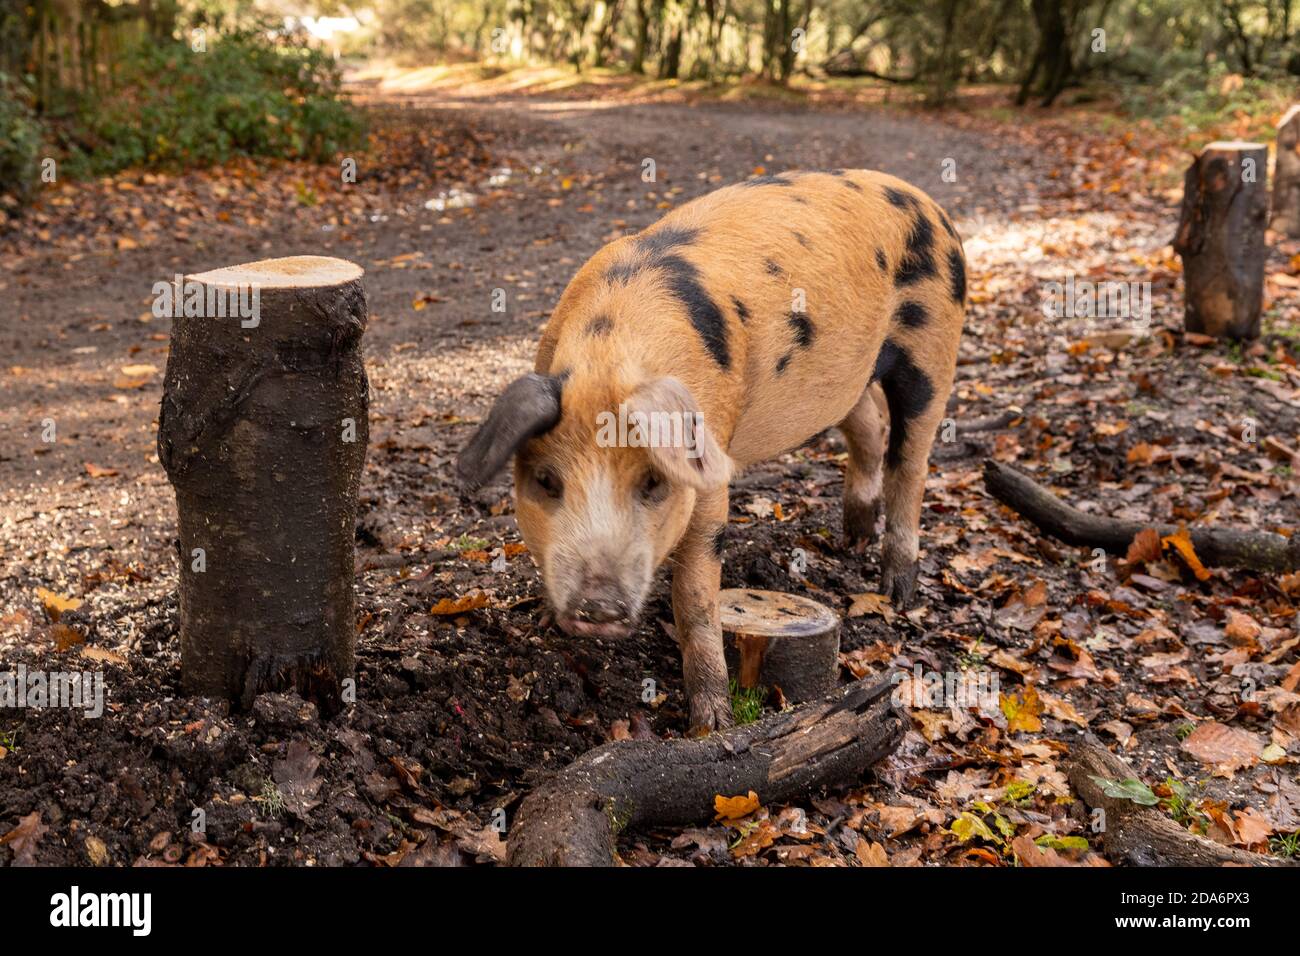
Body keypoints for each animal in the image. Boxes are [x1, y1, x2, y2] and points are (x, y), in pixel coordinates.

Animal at [457, 170, 967, 733]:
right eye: (546, 481)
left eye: (653, 482)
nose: (599, 607)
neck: (609, 360)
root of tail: (929, 205)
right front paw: (548, 620)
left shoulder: (710, 471)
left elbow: (696, 595)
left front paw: (712, 724)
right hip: (845, 376)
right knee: (870, 425)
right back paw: (852, 538)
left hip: (934, 348)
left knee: (911, 460)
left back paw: (896, 590)